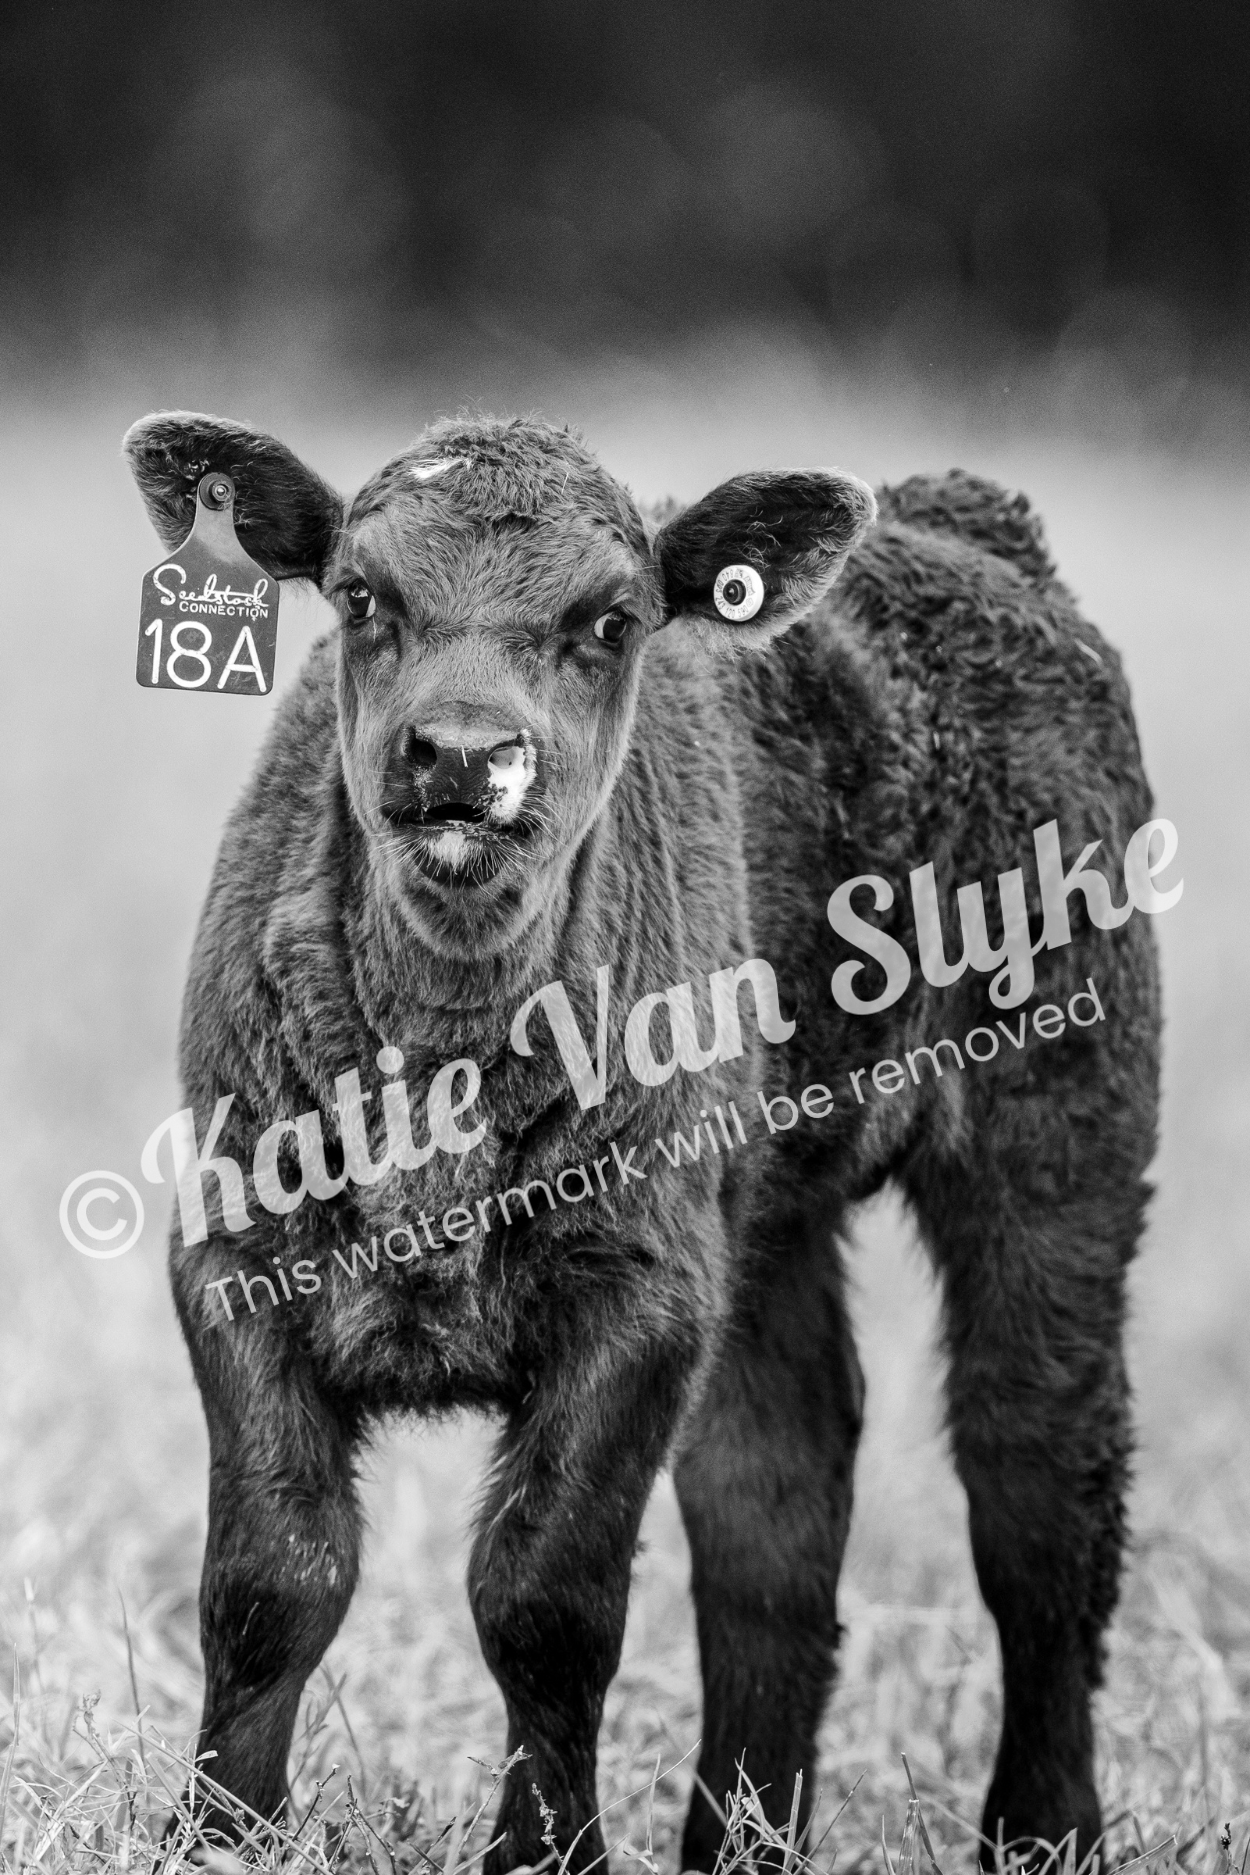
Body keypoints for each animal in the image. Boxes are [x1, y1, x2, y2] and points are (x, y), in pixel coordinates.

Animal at [124, 410, 1162, 1874]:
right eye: (362, 596)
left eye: (609, 621)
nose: (461, 753)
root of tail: (966, 518)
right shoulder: (231, 1252)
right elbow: (273, 1577)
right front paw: (220, 1833)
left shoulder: (639, 1292)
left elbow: (544, 1597)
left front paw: (541, 1849)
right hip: (761, 1216)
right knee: (774, 1488)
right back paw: (740, 1842)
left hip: (1062, 1122)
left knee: (1038, 1476)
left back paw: (1042, 1831)